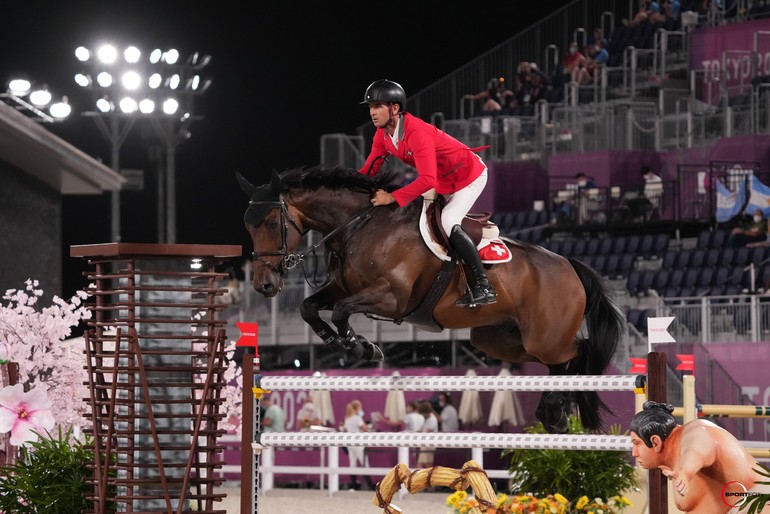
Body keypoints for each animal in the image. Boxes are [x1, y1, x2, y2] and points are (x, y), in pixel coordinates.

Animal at [238, 166, 624, 430]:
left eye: (271, 223)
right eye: (248, 227)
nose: (264, 286)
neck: (358, 225)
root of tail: (570, 265)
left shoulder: (392, 296)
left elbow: (342, 312)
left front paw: (361, 346)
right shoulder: (342, 288)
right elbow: (310, 307)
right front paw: (345, 343)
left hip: (545, 336)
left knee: (578, 352)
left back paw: (559, 408)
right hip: (498, 339)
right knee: (556, 361)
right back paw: (552, 411)